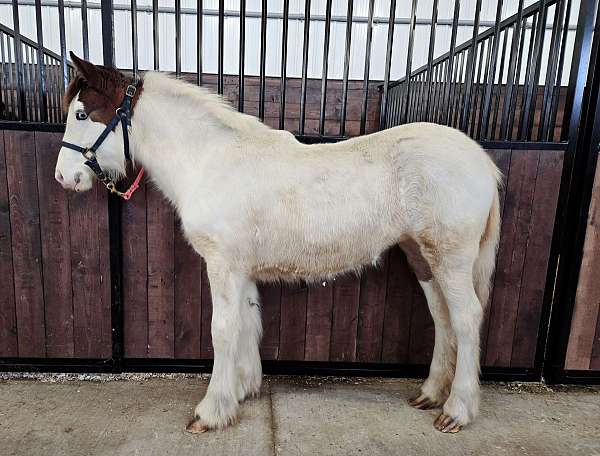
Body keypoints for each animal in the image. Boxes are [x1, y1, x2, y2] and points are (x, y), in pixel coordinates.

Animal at [55, 55, 502, 432]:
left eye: (82, 114)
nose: (64, 177)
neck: (211, 161)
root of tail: (482, 161)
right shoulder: (242, 270)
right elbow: (248, 322)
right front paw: (242, 389)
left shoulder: (223, 265)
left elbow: (223, 329)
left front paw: (212, 411)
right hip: (421, 255)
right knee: (442, 317)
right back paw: (431, 393)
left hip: (450, 257)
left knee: (465, 318)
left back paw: (457, 410)